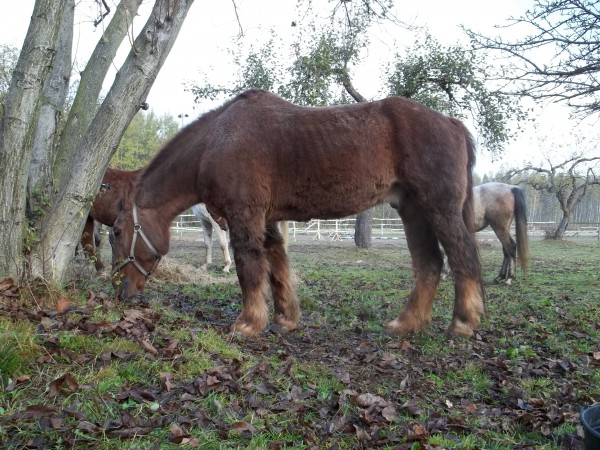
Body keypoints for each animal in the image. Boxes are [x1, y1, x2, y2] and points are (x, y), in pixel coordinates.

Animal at [111, 89, 482, 338]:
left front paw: (248, 324)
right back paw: (406, 324)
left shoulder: (244, 216)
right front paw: (284, 319)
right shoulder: (267, 220)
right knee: (429, 263)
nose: (120, 291)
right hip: (412, 210)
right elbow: (277, 267)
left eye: (116, 231)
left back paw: (463, 323)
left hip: (438, 207)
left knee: (461, 257)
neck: (216, 142)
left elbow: (249, 266)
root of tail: (452, 123)